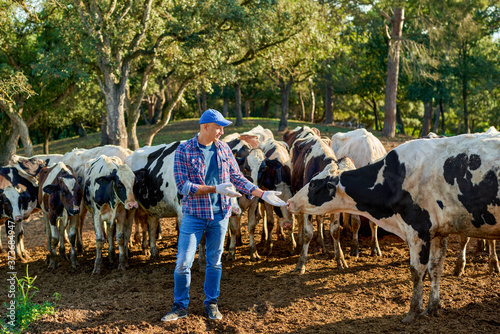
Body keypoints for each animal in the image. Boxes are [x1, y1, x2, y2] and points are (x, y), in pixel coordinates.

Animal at [288, 132, 500, 322]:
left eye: (313, 184)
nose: (290, 202)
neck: (394, 177)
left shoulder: (418, 230)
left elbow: (417, 272)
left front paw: (413, 311)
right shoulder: (440, 232)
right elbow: (435, 269)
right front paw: (433, 307)